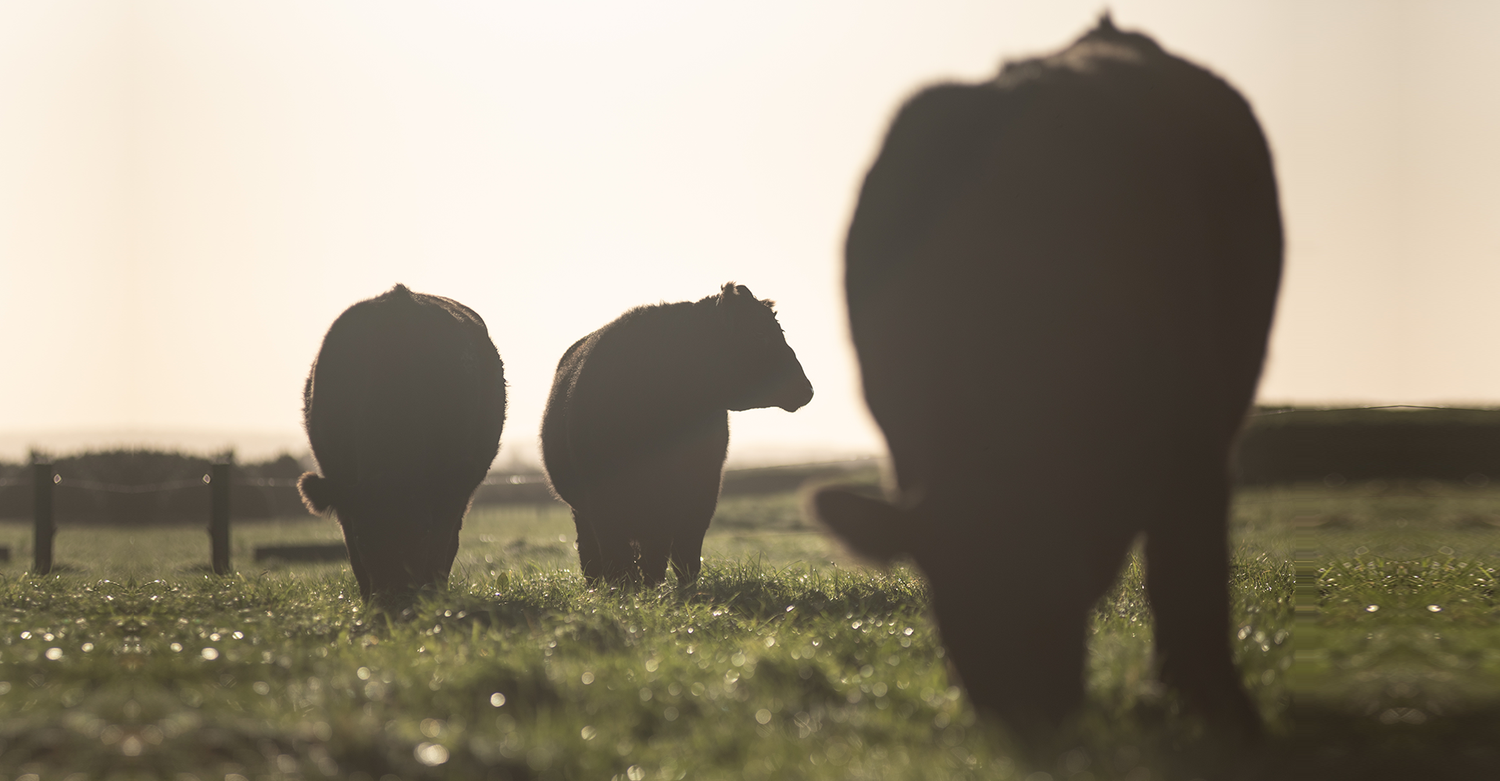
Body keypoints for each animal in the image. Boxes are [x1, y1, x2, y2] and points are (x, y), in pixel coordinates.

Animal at [543, 281, 816, 584]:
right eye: (758, 334)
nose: (807, 388)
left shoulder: (701, 491)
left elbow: (679, 555)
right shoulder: (602, 500)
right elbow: (619, 559)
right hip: (583, 511)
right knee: (591, 555)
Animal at [816, 15, 1284, 740]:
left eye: (1063, 576)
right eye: (939, 578)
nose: (1021, 713)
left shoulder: (1197, 432)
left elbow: (1188, 568)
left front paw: (1220, 709)